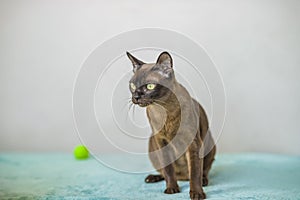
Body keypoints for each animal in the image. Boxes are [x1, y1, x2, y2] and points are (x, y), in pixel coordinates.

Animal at [126, 50, 216, 199]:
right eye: (132, 86)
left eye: (150, 86)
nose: (136, 97)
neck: (163, 109)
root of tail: (183, 178)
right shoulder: (161, 141)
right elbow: (168, 170)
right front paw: (172, 189)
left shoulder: (192, 143)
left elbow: (195, 172)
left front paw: (197, 193)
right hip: (152, 146)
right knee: (165, 172)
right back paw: (152, 178)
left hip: (209, 145)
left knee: (201, 172)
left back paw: (203, 181)